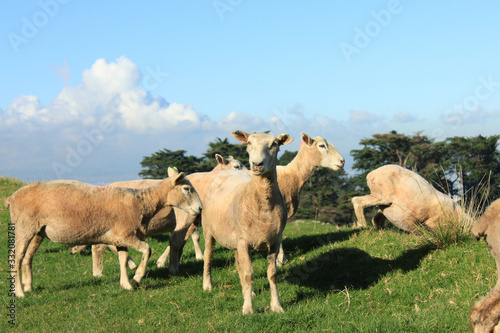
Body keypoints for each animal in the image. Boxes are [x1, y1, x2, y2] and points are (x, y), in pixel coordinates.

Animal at [4, 167, 201, 296]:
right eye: (186, 189)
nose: (200, 208)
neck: (143, 202)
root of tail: (11, 198)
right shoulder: (125, 235)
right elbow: (147, 250)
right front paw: (137, 278)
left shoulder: (120, 238)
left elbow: (123, 259)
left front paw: (126, 284)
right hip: (23, 227)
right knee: (17, 256)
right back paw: (20, 293)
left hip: (38, 231)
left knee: (27, 257)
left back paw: (28, 286)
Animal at [200, 130, 292, 314]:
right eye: (249, 143)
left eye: (274, 144)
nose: (257, 164)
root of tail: (225, 172)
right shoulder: (244, 242)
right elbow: (249, 273)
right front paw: (248, 309)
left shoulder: (274, 242)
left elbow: (272, 274)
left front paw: (276, 306)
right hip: (208, 230)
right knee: (208, 255)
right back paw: (207, 285)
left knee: (238, 263)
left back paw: (250, 292)